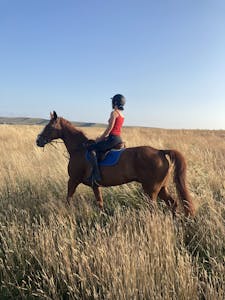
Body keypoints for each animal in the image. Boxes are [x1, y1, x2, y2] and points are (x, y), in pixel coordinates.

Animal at [36, 111, 194, 217]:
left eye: (49, 127)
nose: (38, 141)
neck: (79, 149)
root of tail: (160, 151)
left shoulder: (73, 180)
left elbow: (68, 198)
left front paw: (66, 212)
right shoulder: (95, 185)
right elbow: (99, 202)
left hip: (151, 190)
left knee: (155, 208)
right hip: (161, 188)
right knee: (173, 203)